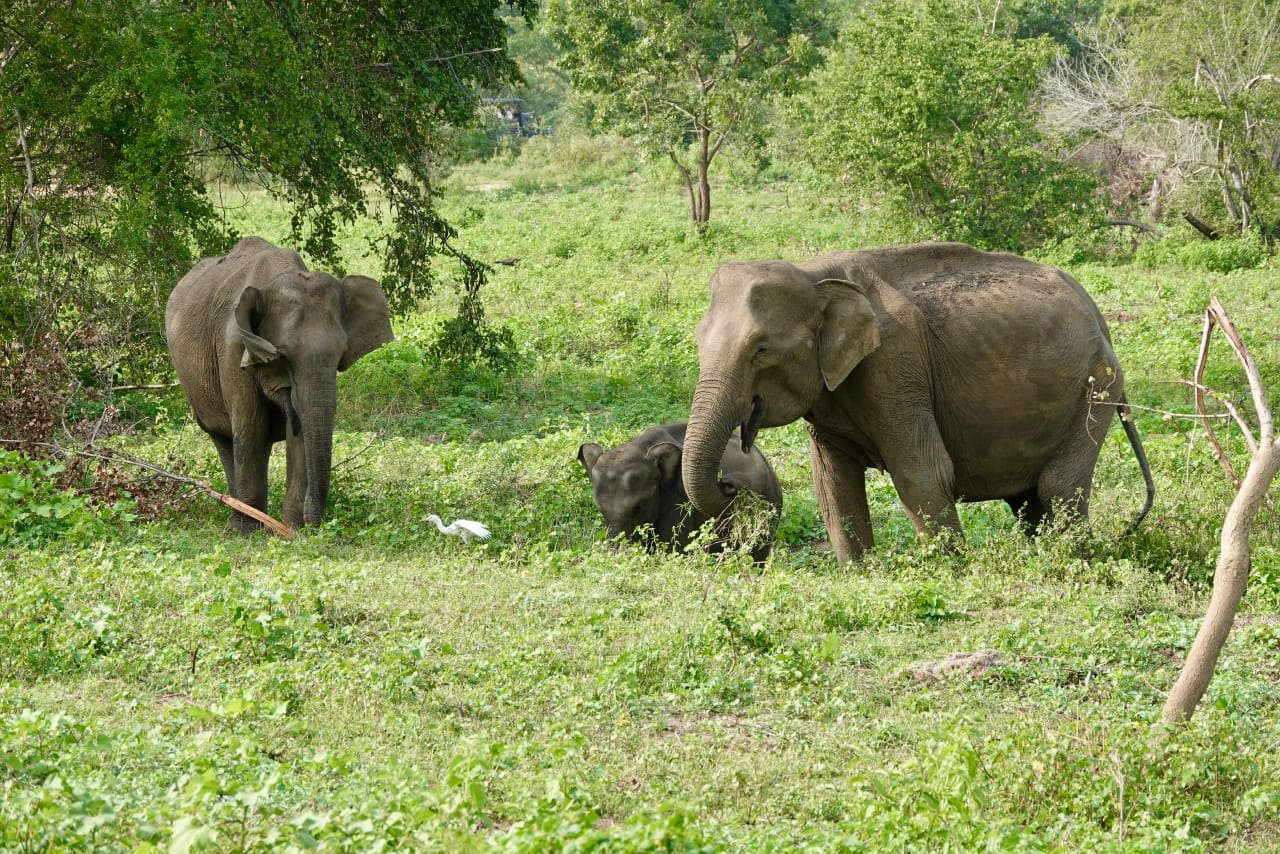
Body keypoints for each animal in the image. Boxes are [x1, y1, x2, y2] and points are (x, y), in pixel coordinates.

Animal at [165, 236, 393, 532]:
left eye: (341, 354)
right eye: (282, 356)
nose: (314, 523)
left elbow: (296, 439)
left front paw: (293, 528)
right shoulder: (232, 351)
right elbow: (252, 428)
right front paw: (247, 532)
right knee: (225, 437)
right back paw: (239, 514)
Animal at [682, 242, 1155, 564]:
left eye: (760, 349)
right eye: (698, 341)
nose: (731, 484)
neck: (812, 273)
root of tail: (1099, 316)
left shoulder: (896, 362)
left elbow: (922, 472)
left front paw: (950, 572)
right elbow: (833, 486)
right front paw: (861, 574)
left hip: (1096, 387)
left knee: (1059, 487)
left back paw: (1077, 559)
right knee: (1030, 499)